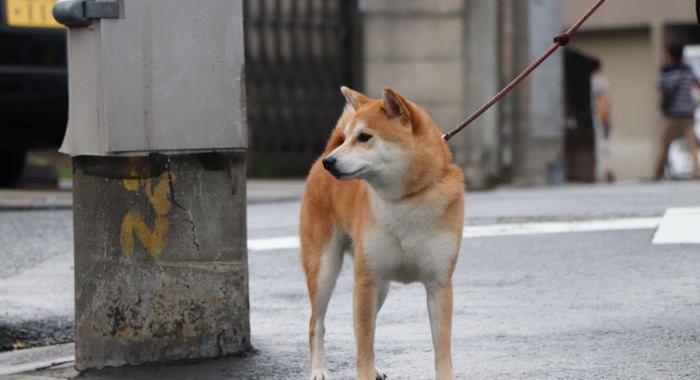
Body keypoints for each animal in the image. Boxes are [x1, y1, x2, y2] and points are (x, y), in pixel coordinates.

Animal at [298, 86, 462, 380]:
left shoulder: (439, 284)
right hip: (325, 268)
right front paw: (362, 372)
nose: (330, 162)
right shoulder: (366, 279)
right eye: (350, 137)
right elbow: (364, 346)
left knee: (363, 328)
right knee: (318, 323)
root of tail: (325, 150)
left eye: (364, 137)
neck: (407, 200)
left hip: (380, 286)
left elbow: (442, 348)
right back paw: (319, 369)